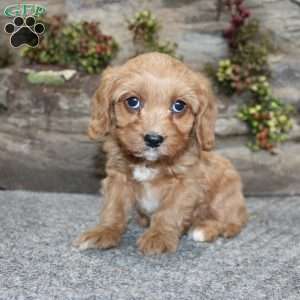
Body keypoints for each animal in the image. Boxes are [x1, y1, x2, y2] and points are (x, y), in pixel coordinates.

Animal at [74, 52, 247, 254]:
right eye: (132, 102)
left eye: (179, 106)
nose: (153, 139)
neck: (149, 163)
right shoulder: (118, 177)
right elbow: (113, 207)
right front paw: (104, 231)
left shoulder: (185, 183)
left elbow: (169, 211)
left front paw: (158, 236)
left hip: (226, 192)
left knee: (232, 223)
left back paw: (204, 229)